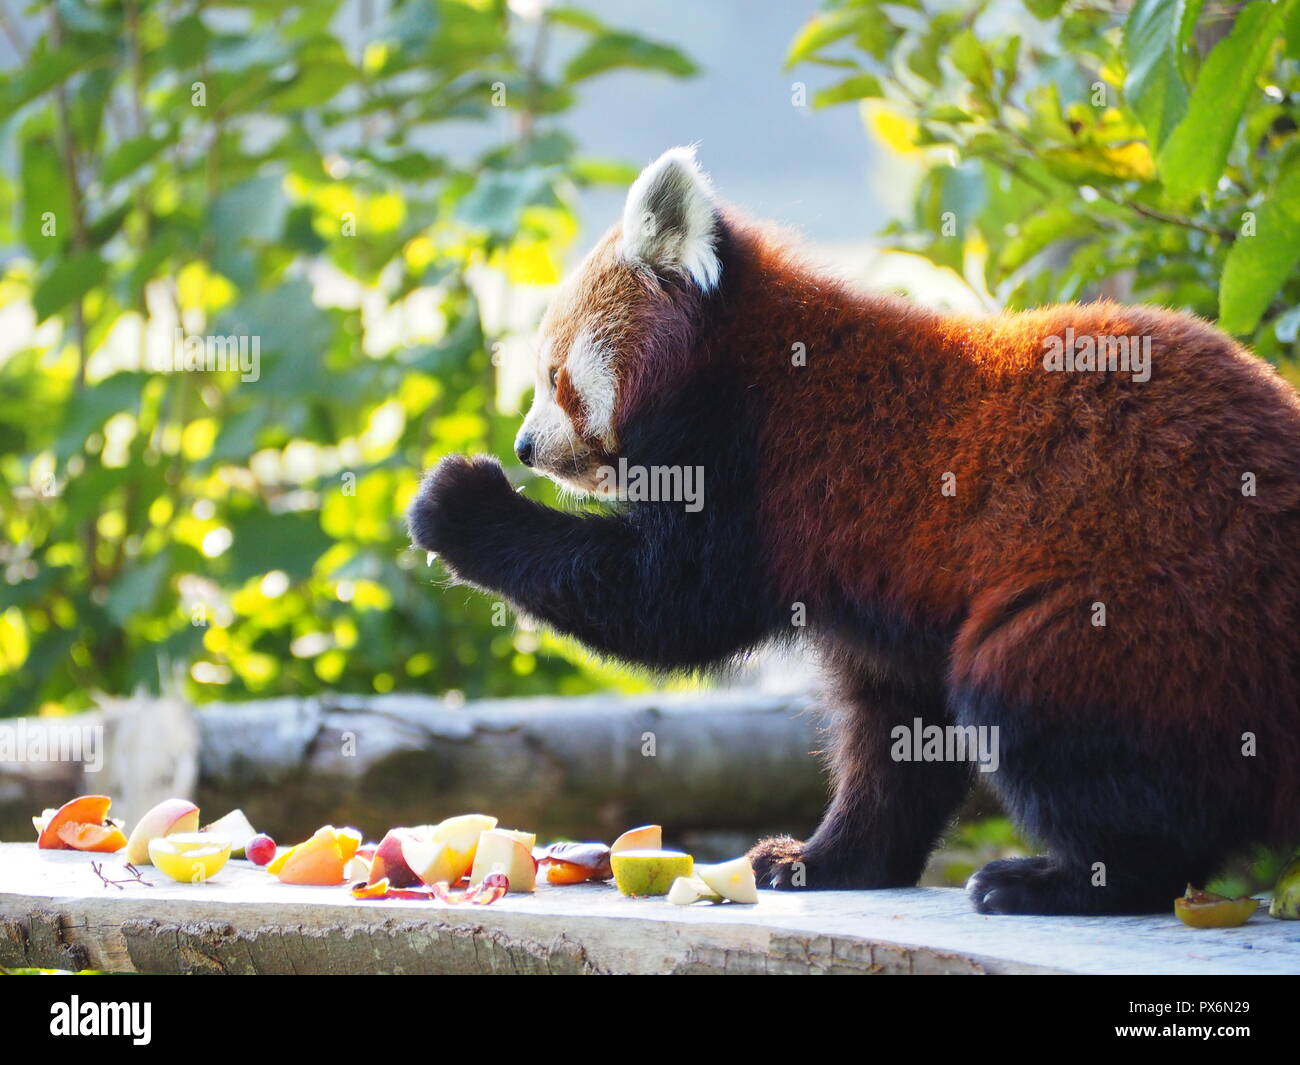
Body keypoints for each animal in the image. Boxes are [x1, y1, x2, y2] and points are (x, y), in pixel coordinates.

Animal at [408, 147, 1300, 915]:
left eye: (554, 376)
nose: (525, 447)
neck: (731, 363)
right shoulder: (875, 595)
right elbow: (895, 733)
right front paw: (826, 859)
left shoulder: (759, 473)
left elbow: (668, 604)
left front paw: (459, 502)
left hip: (1139, 599)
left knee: (1027, 690)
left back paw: (1074, 879)